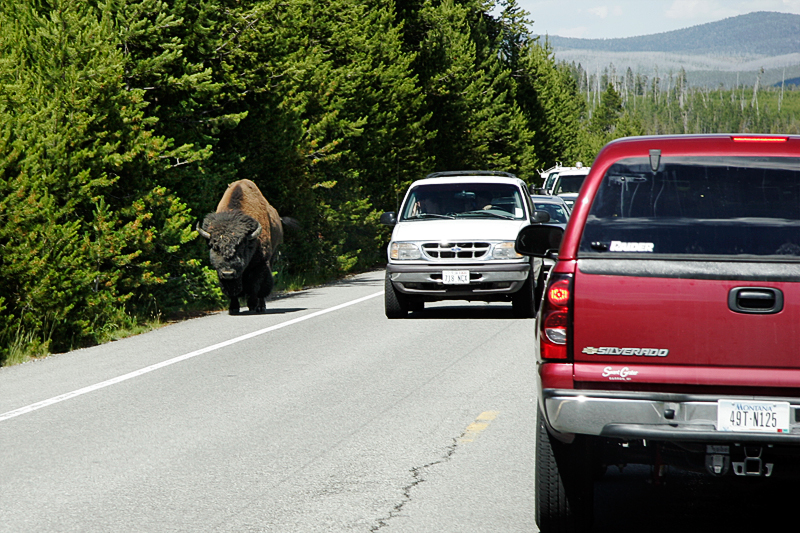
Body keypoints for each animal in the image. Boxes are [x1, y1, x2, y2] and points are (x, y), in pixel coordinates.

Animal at [197, 179, 288, 314]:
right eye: (215, 247)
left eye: (241, 246)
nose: (228, 273)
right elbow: (232, 290)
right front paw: (233, 308)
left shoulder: (260, 264)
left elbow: (255, 285)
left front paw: (253, 305)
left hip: (272, 256)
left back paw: (260, 306)